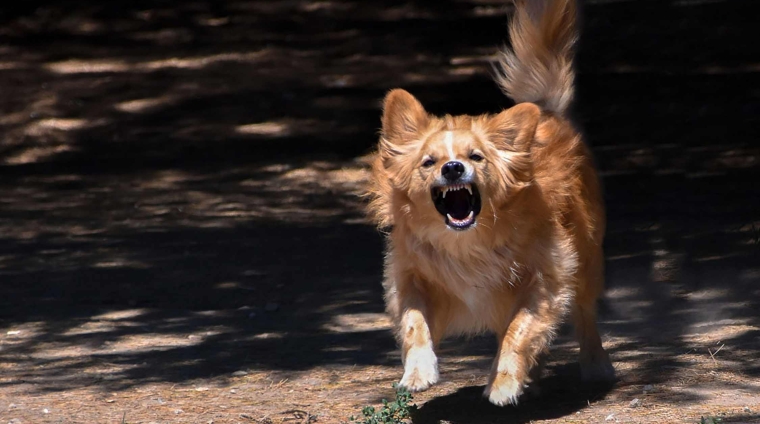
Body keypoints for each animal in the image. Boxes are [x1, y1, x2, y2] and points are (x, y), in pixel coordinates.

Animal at [366, 0, 616, 406]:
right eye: (428, 162)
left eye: (476, 157)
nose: (453, 167)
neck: (467, 243)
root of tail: (548, 111)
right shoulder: (410, 279)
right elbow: (415, 324)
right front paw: (418, 372)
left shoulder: (544, 283)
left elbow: (519, 330)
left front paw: (504, 382)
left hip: (586, 261)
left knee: (585, 315)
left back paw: (594, 365)